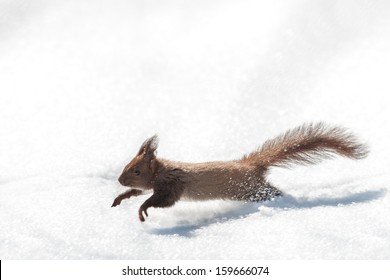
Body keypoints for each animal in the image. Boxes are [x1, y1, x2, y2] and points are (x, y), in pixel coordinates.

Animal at [111, 123, 368, 222]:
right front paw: (120, 198)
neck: (163, 170)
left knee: (273, 192)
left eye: (136, 170)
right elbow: (139, 192)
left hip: (252, 189)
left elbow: (162, 200)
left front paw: (142, 209)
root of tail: (252, 166)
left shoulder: (173, 184)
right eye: (125, 167)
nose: (120, 180)